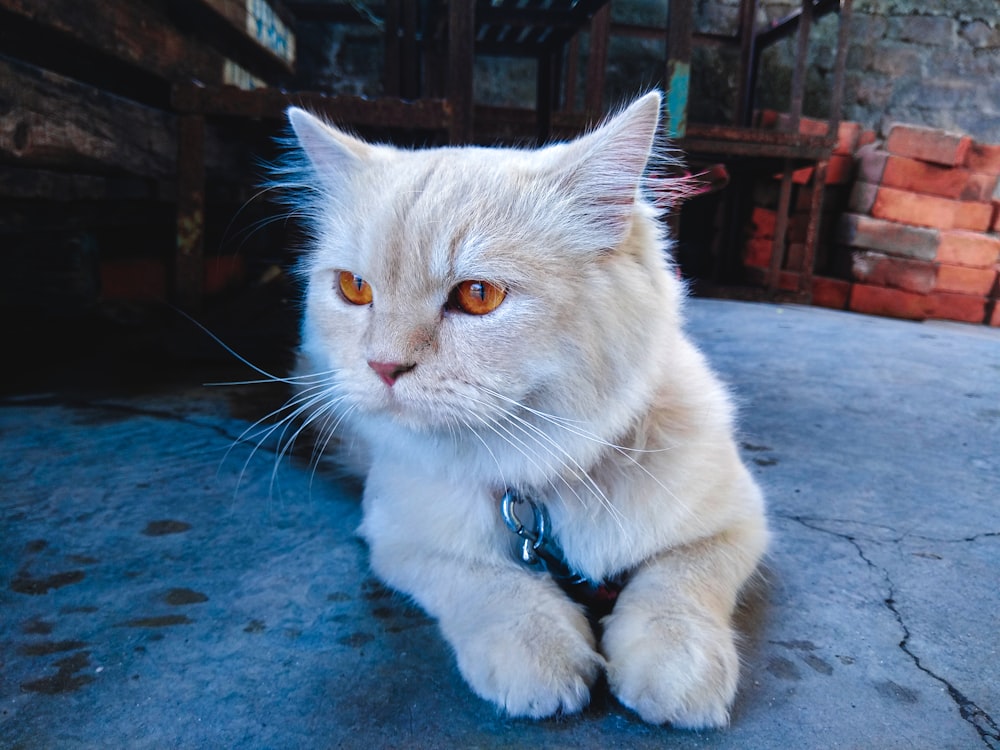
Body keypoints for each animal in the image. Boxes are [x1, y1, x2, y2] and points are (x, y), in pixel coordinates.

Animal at [278, 91, 768, 732]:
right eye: (355, 289)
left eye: (477, 296)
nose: (383, 367)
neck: (540, 476)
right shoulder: (399, 536)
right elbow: (488, 581)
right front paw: (540, 657)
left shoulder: (737, 522)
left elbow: (677, 585)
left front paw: (675, 670)